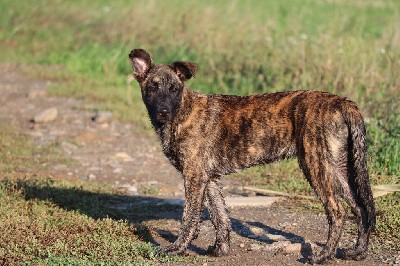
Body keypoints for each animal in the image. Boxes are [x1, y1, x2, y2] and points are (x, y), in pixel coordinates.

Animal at [128, 48, 376, 264]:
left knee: (338, 211)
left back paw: (324, 256)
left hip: (316, 166)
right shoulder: (209, 179)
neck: (183, 112)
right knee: (360, 208)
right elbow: (220, 216)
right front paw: (221, 249)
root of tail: (343, 102)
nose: (163, 112)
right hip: (336, 168)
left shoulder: (194, 177)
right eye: (153, 87)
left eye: (173, 89)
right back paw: (358, 252)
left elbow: (189, 218)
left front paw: (177, 248)